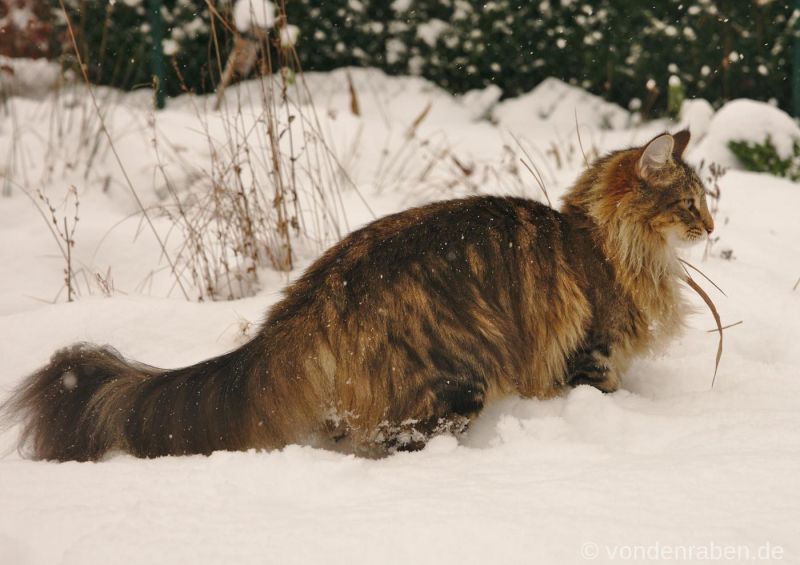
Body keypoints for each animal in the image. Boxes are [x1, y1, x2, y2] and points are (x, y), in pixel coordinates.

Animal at [0, 130, 712, 460]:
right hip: (453, 384)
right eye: (689, 203)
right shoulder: (591, 352)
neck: (602, 237)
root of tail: (312, 297)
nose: (712, 226)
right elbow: (601, 388)